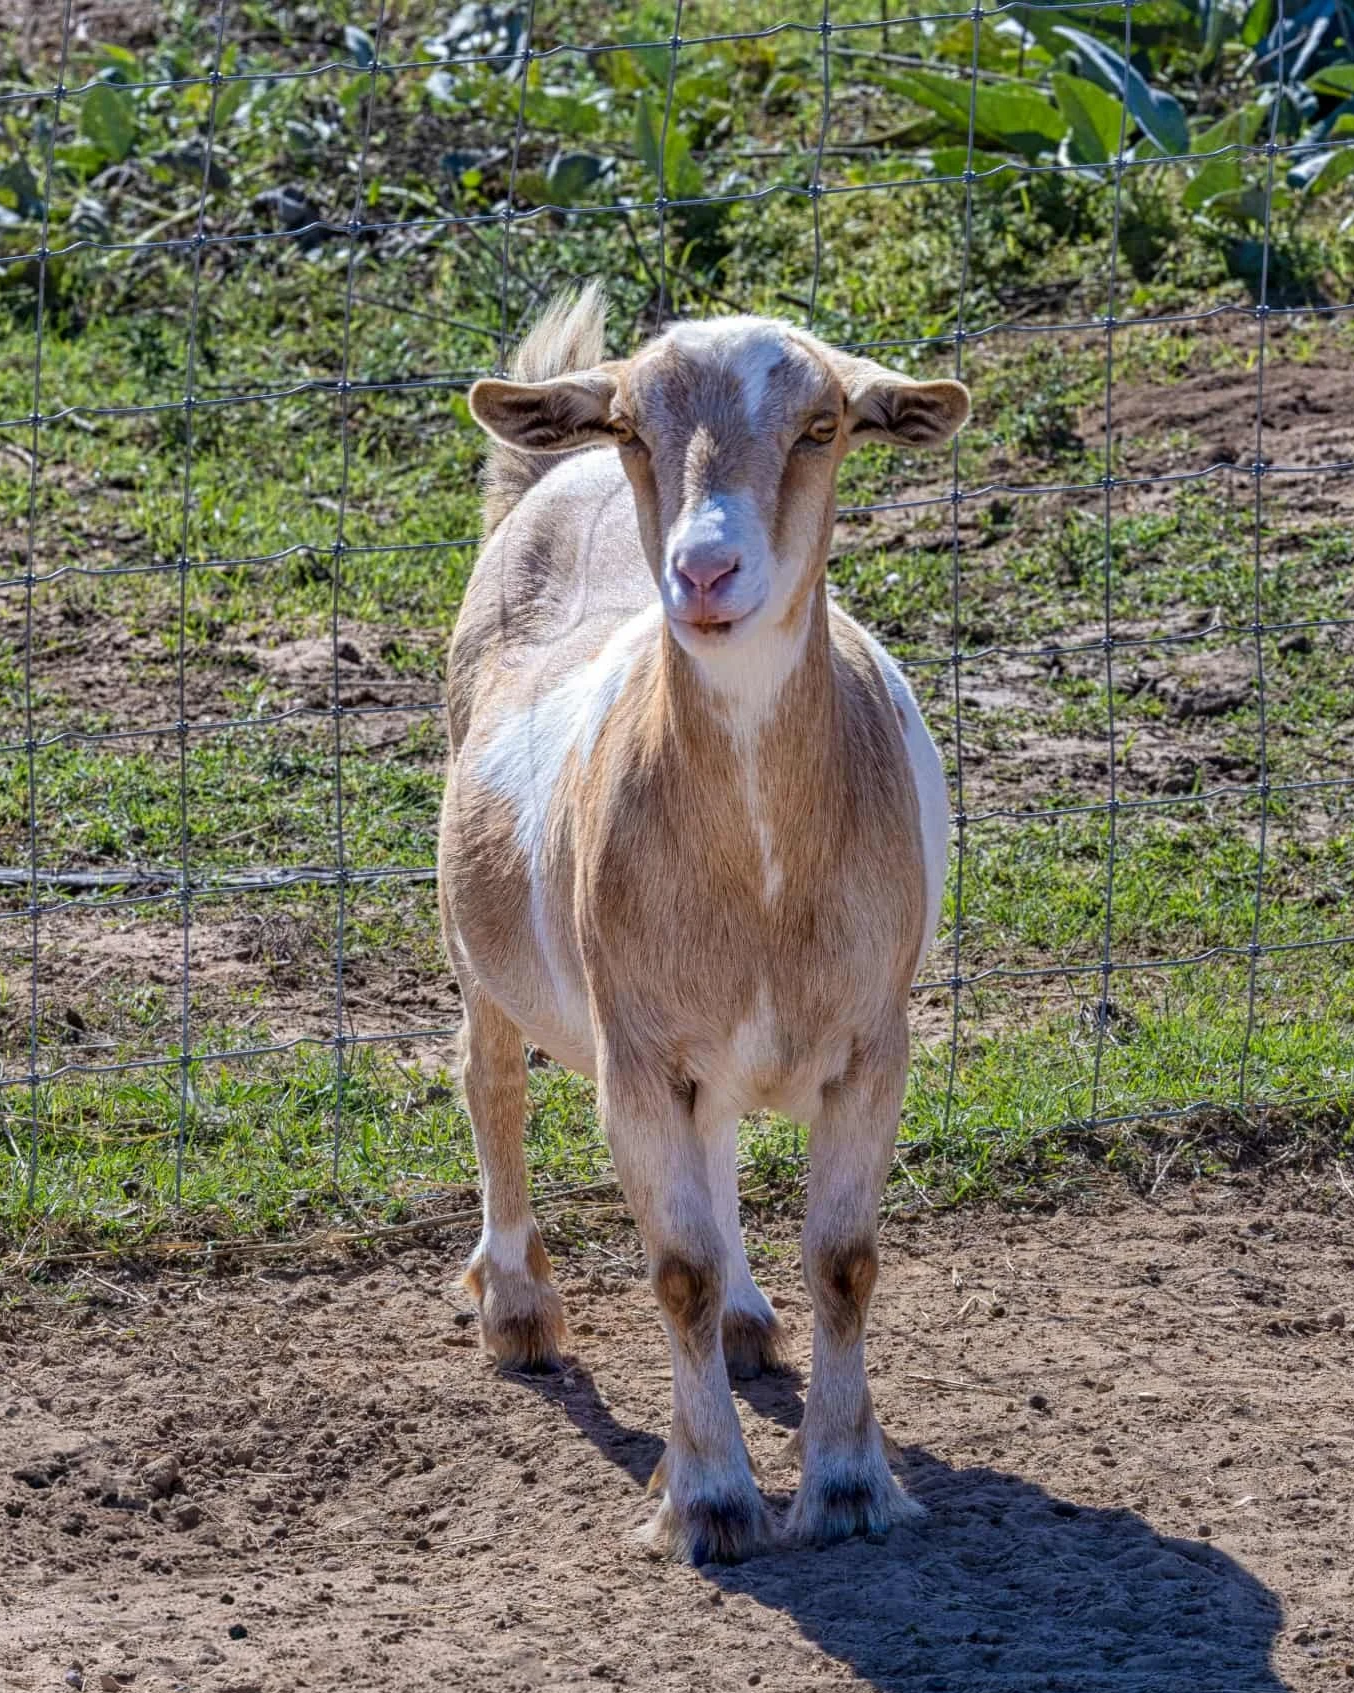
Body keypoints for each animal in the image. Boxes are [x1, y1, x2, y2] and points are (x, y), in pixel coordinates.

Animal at [439, 284, 969, 1562]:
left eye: (825, 424)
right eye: (637, 427)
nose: (705, 570)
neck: (763, 879)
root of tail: (549, 469)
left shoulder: (873, 1040)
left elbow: (845, 1260)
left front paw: (847, 1485)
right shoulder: (633, 1054)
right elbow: (668, 1270)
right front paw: (715, 1500)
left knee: (720, 1135)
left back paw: (744, 1317)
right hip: (478, 936)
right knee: (491, 1079)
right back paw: (517, 1306)